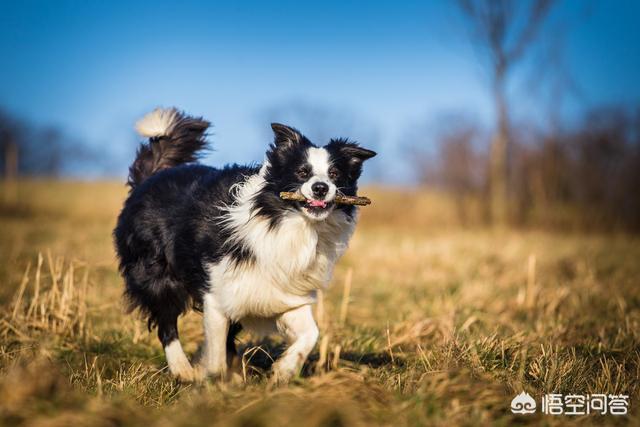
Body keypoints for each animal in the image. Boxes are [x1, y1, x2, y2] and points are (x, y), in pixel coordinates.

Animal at [114, 108, 376, 382]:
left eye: (334, 174)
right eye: (302, 172)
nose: (320, 188)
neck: (292, 225)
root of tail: (152, 177)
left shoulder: (284, 292)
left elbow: (310, 334)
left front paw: (283, 370)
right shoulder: (217, 293)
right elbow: (216, 355)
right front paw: (214, 380)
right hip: (157, 275)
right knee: (166, 323)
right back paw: (183, 370)